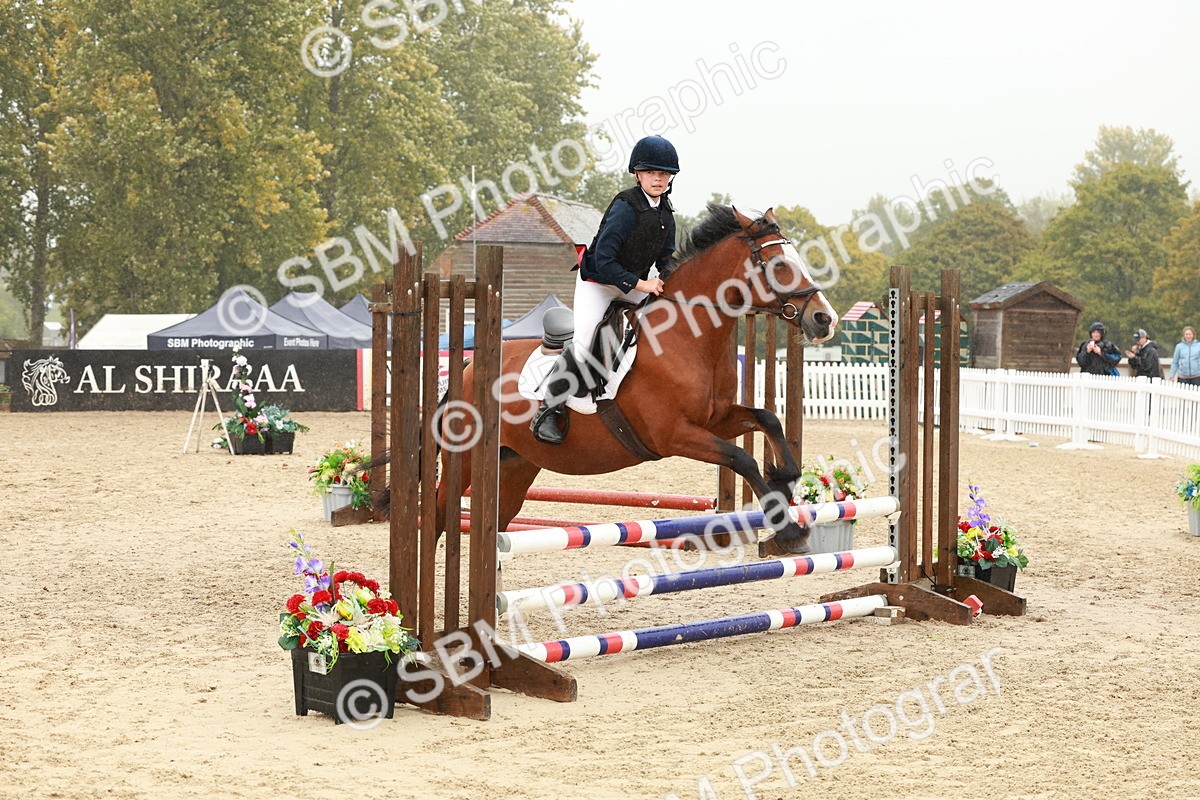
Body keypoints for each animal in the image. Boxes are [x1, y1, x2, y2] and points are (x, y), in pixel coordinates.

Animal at [436, 204, 839, 554]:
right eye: (779, 264)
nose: (825, 319)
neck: (688, 336)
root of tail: (468, 368)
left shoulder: (716, 420)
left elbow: (767, 419)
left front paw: (784, 481)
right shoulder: (674, 434)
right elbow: (742, 459)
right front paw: (788, 529)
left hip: (516, 463)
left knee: (500, 524)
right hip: (466, 460)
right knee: (440, 514)